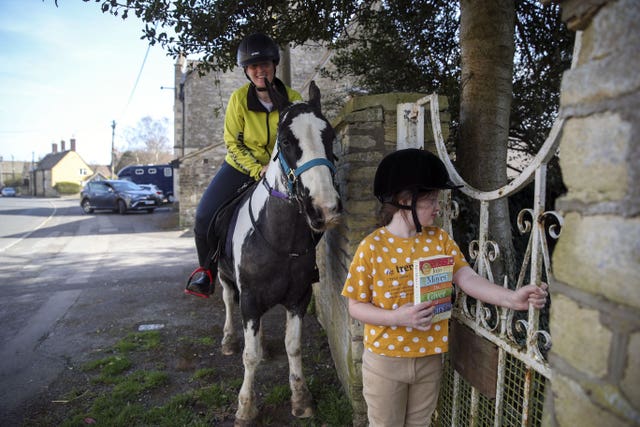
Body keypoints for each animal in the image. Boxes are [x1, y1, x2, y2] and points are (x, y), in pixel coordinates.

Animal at [216, 80, 344, 424]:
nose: (325, 209)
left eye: (330, 136)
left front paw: (301, 400)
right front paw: (245, 407)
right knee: (228, 301)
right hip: (224, 278)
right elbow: (248, 357)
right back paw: (229, 339)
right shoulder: (249, 298)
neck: (279, 240)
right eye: (285, 140)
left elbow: (293, 346)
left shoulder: (298, 297)